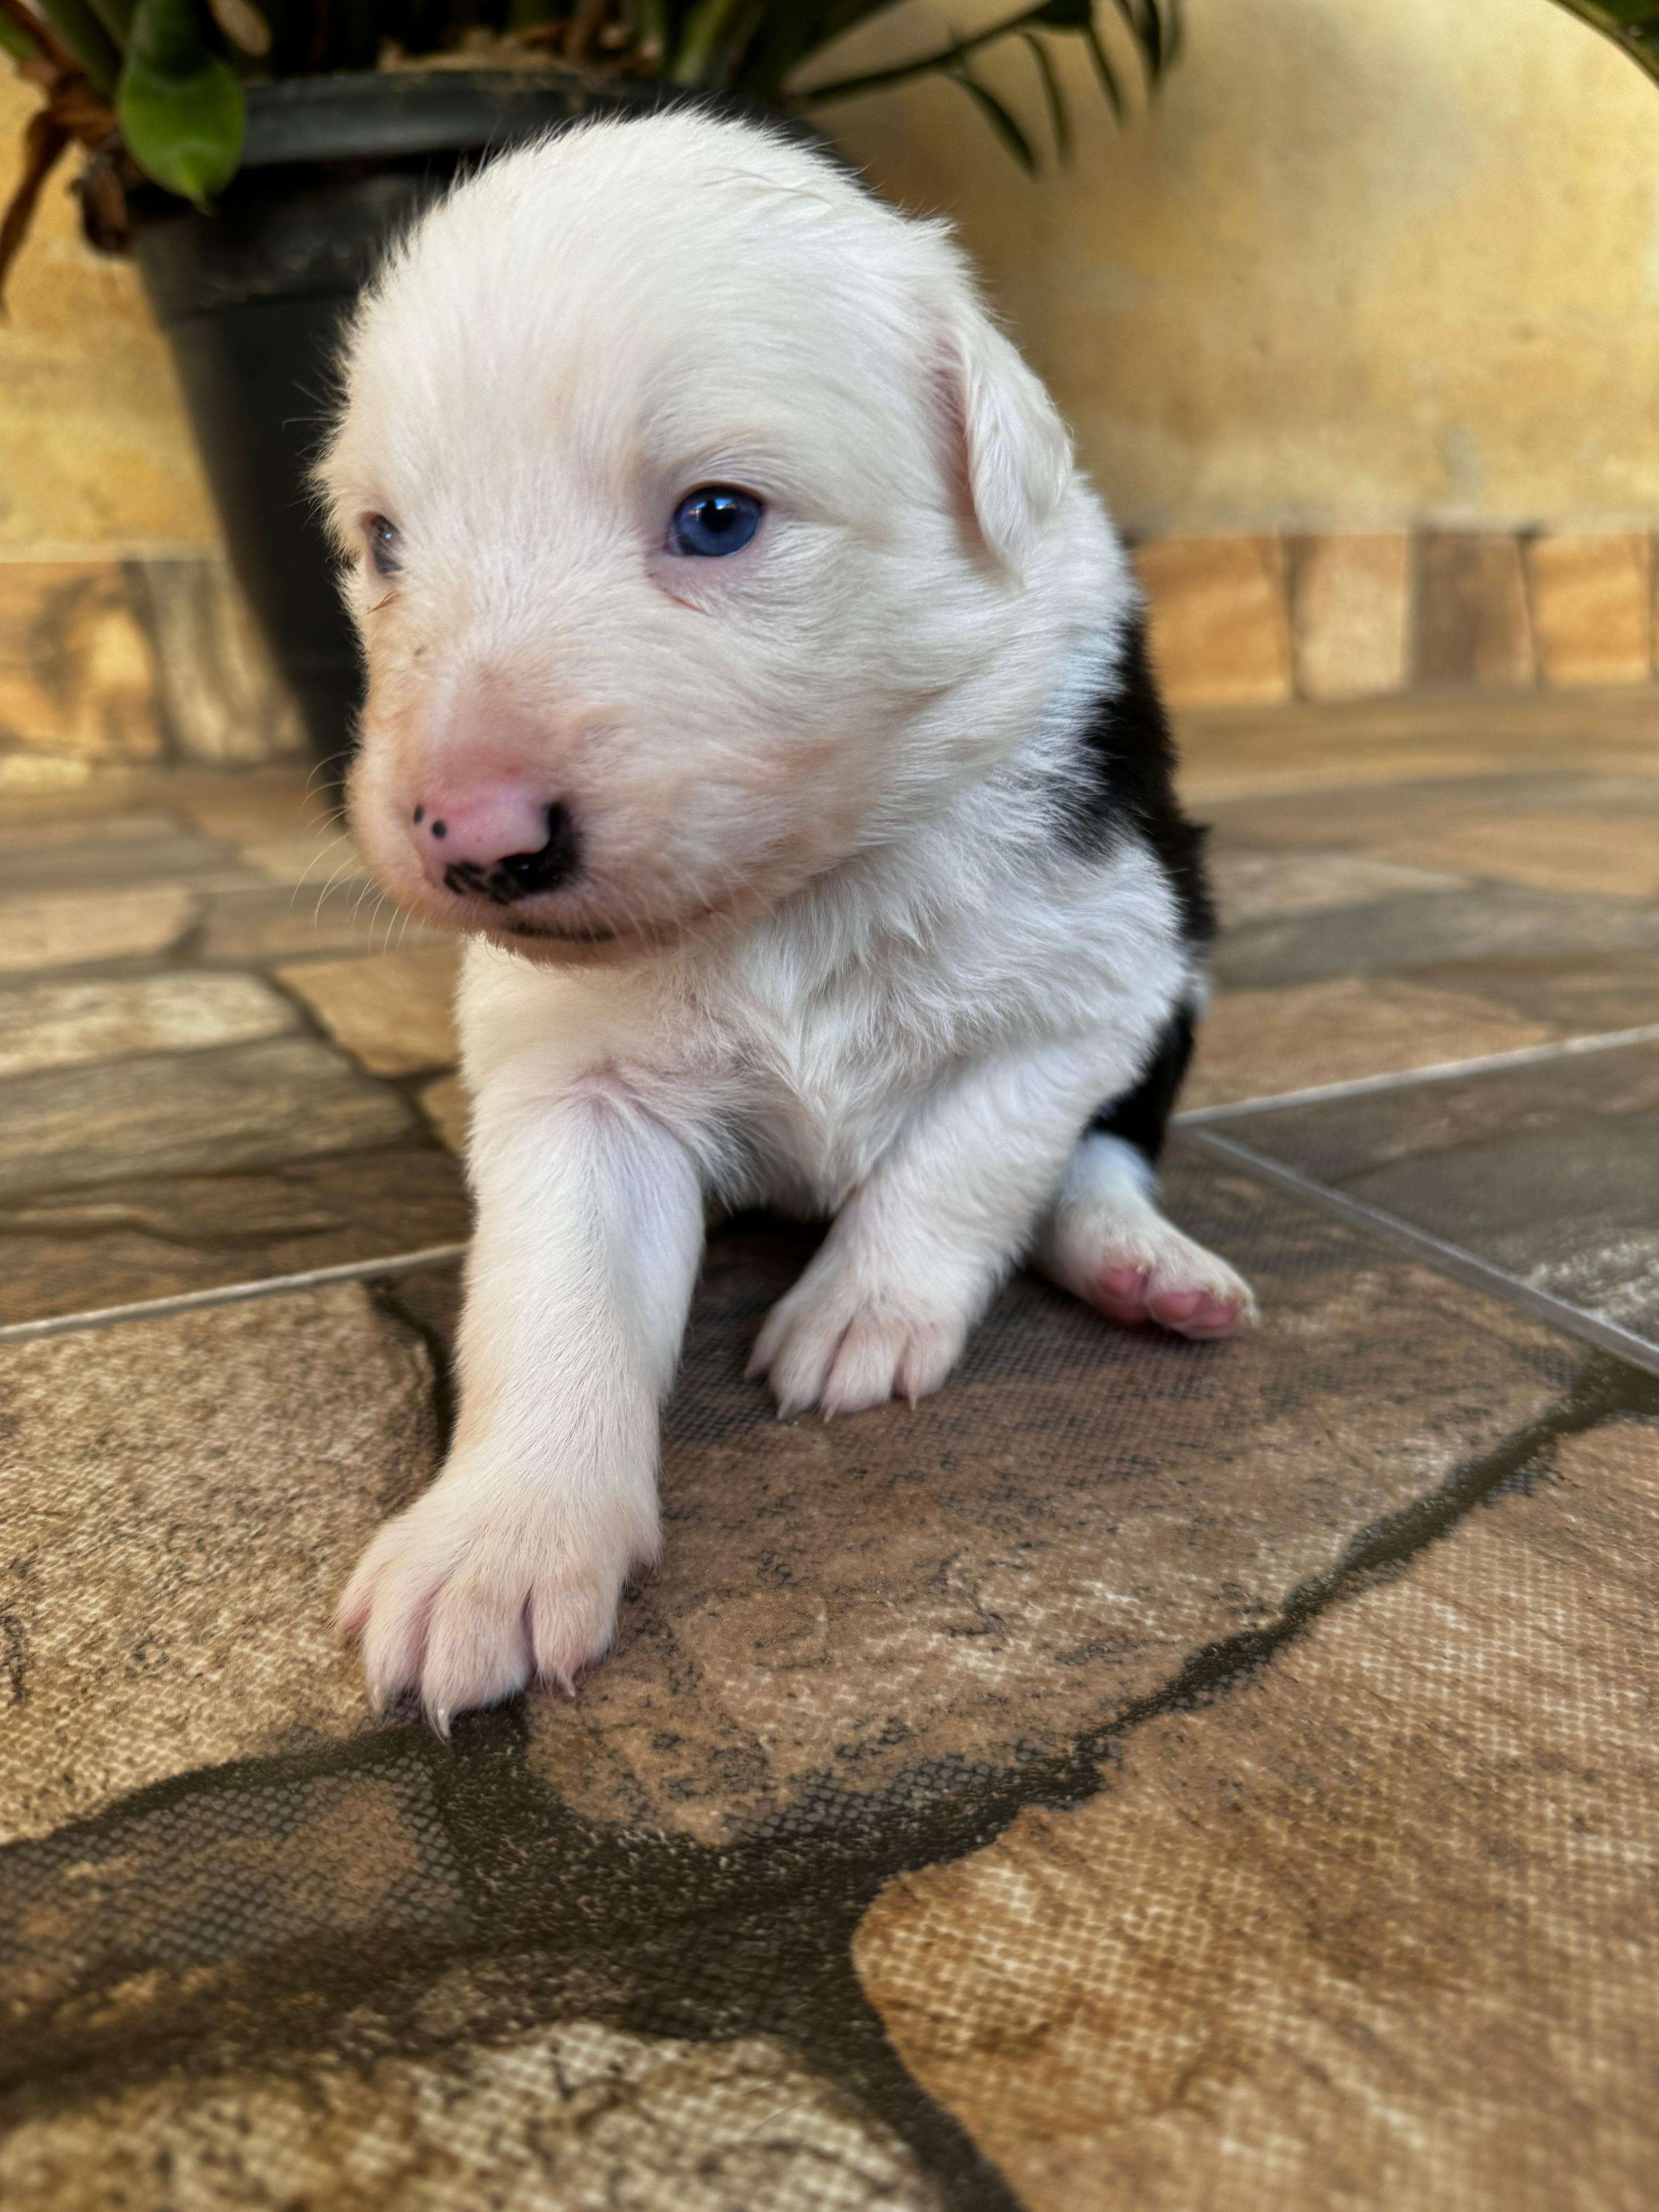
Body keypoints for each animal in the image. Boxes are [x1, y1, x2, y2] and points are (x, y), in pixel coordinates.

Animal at [325, 107, 1256, 1725]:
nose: (469, 836)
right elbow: (553, 1296)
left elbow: (971, 1151)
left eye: (717, 517)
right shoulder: (575, 1081)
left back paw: (1147, 1269)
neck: (794, 892)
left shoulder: (1104, 969)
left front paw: (862, 1315)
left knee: (1105, 1157)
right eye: (381, 542)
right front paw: (496, 1547)